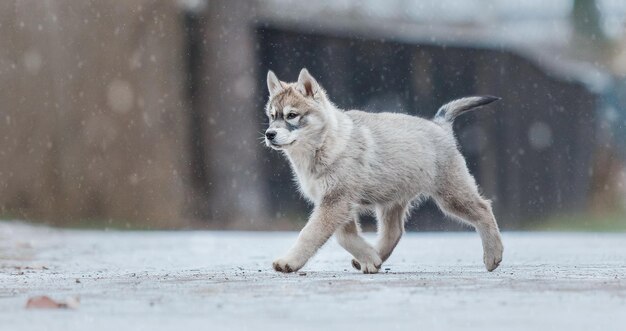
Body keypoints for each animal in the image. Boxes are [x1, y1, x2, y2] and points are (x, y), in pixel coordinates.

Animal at [264, 68, 502, 274]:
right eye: (272, 116)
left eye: (291, 115)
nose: (269, 134)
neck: (325, 143)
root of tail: (439, 125)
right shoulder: (336, 203)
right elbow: (344, 237)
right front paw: (370, 258)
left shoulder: (335, 201)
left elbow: (311, 233)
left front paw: (288, 262)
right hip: (391, 200)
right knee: (394, 231)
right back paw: (377, 255)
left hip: (451, 195)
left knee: (484, 208)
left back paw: (493, 255)